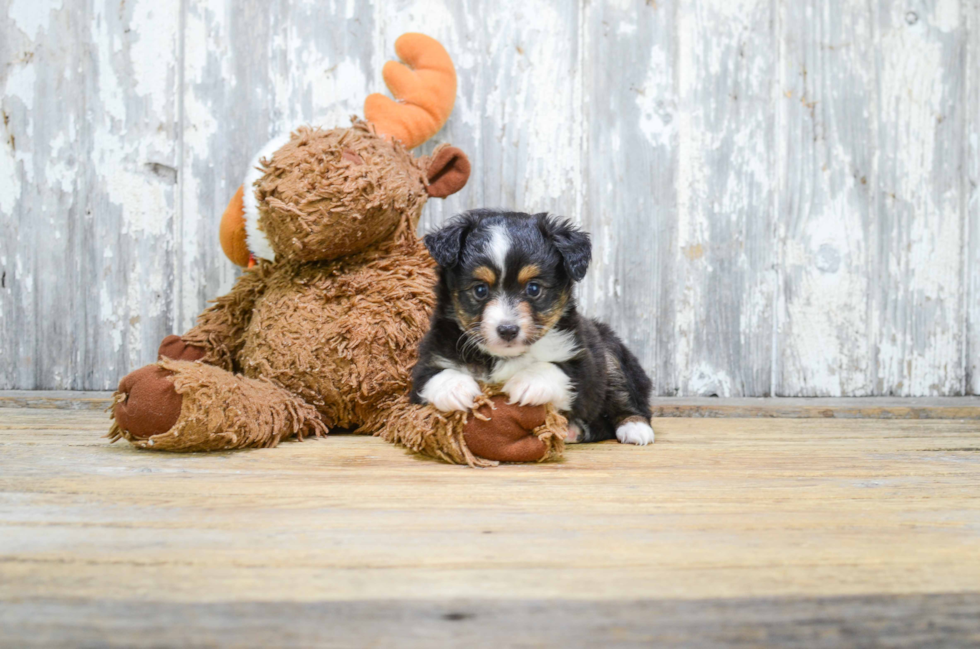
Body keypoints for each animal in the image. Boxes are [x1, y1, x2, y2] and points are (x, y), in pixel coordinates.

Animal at [410, 210, 656, 442]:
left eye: (534, 288)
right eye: (480, 290)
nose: (508, 330)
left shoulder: (585, 366)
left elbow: (557, 369)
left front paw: (528, 382)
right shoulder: (426, 362)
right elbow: (434, 376)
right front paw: (456, 388)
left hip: (610, 353)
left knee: (627, 399)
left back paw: (635, 428)